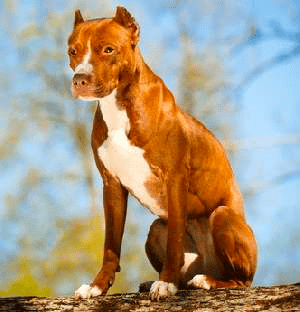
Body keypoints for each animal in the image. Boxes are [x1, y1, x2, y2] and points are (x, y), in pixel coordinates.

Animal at [68, 6, 258, 300]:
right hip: (156, 229)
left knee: (241, 281)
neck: (120, 107)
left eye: (109, 49)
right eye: (73, 51)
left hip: (223, 218)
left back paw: (206, 281)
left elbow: (174, 242)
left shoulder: (175, 179)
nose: (80, 80)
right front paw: (97, 286)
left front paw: (166, 283)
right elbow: (110, 245)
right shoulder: (111, 185)